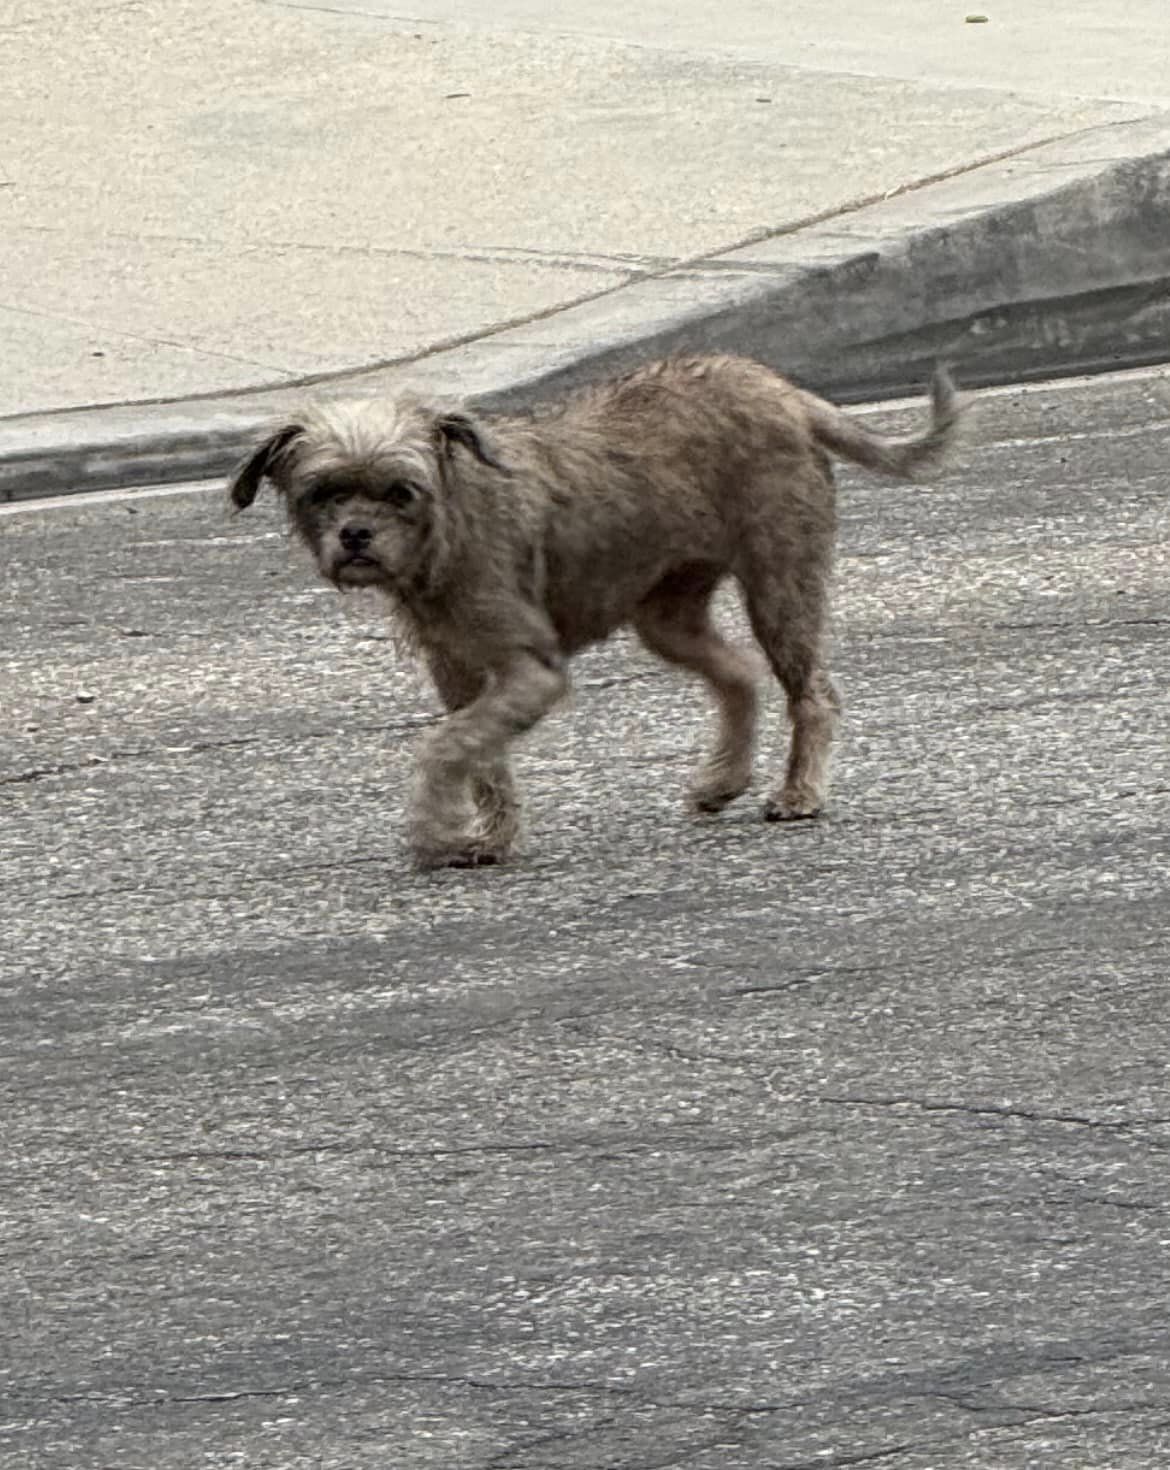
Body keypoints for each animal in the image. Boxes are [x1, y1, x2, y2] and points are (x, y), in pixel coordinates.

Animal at [226, 354, 958, 864]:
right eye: (322, 492)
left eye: (400, 492)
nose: (356, 536)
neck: (451, 522)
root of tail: (783, 392)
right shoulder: (461, 675)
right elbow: (480, 756)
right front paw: (492, 836)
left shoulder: (529, 671)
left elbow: (445, 747)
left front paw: (435, 827)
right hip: (666, 615)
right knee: (738, 676)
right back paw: (725, 779)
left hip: (780, 585)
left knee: (812, 692)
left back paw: (799, 793)